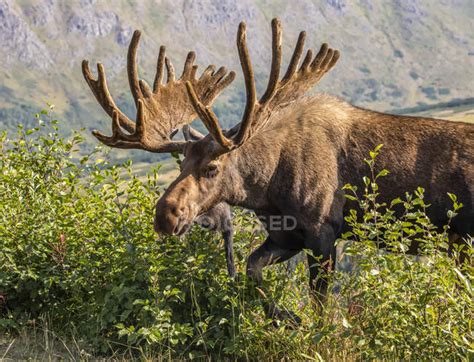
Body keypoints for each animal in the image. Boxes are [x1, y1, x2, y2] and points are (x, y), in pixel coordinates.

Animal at [83, 18, 472, 320]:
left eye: (212, 167)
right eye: (181, 164)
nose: (165, 215)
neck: (266, 189)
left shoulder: (322, 232)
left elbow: (321, 307)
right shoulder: (287, 236)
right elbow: (250, 270)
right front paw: (283, 316)